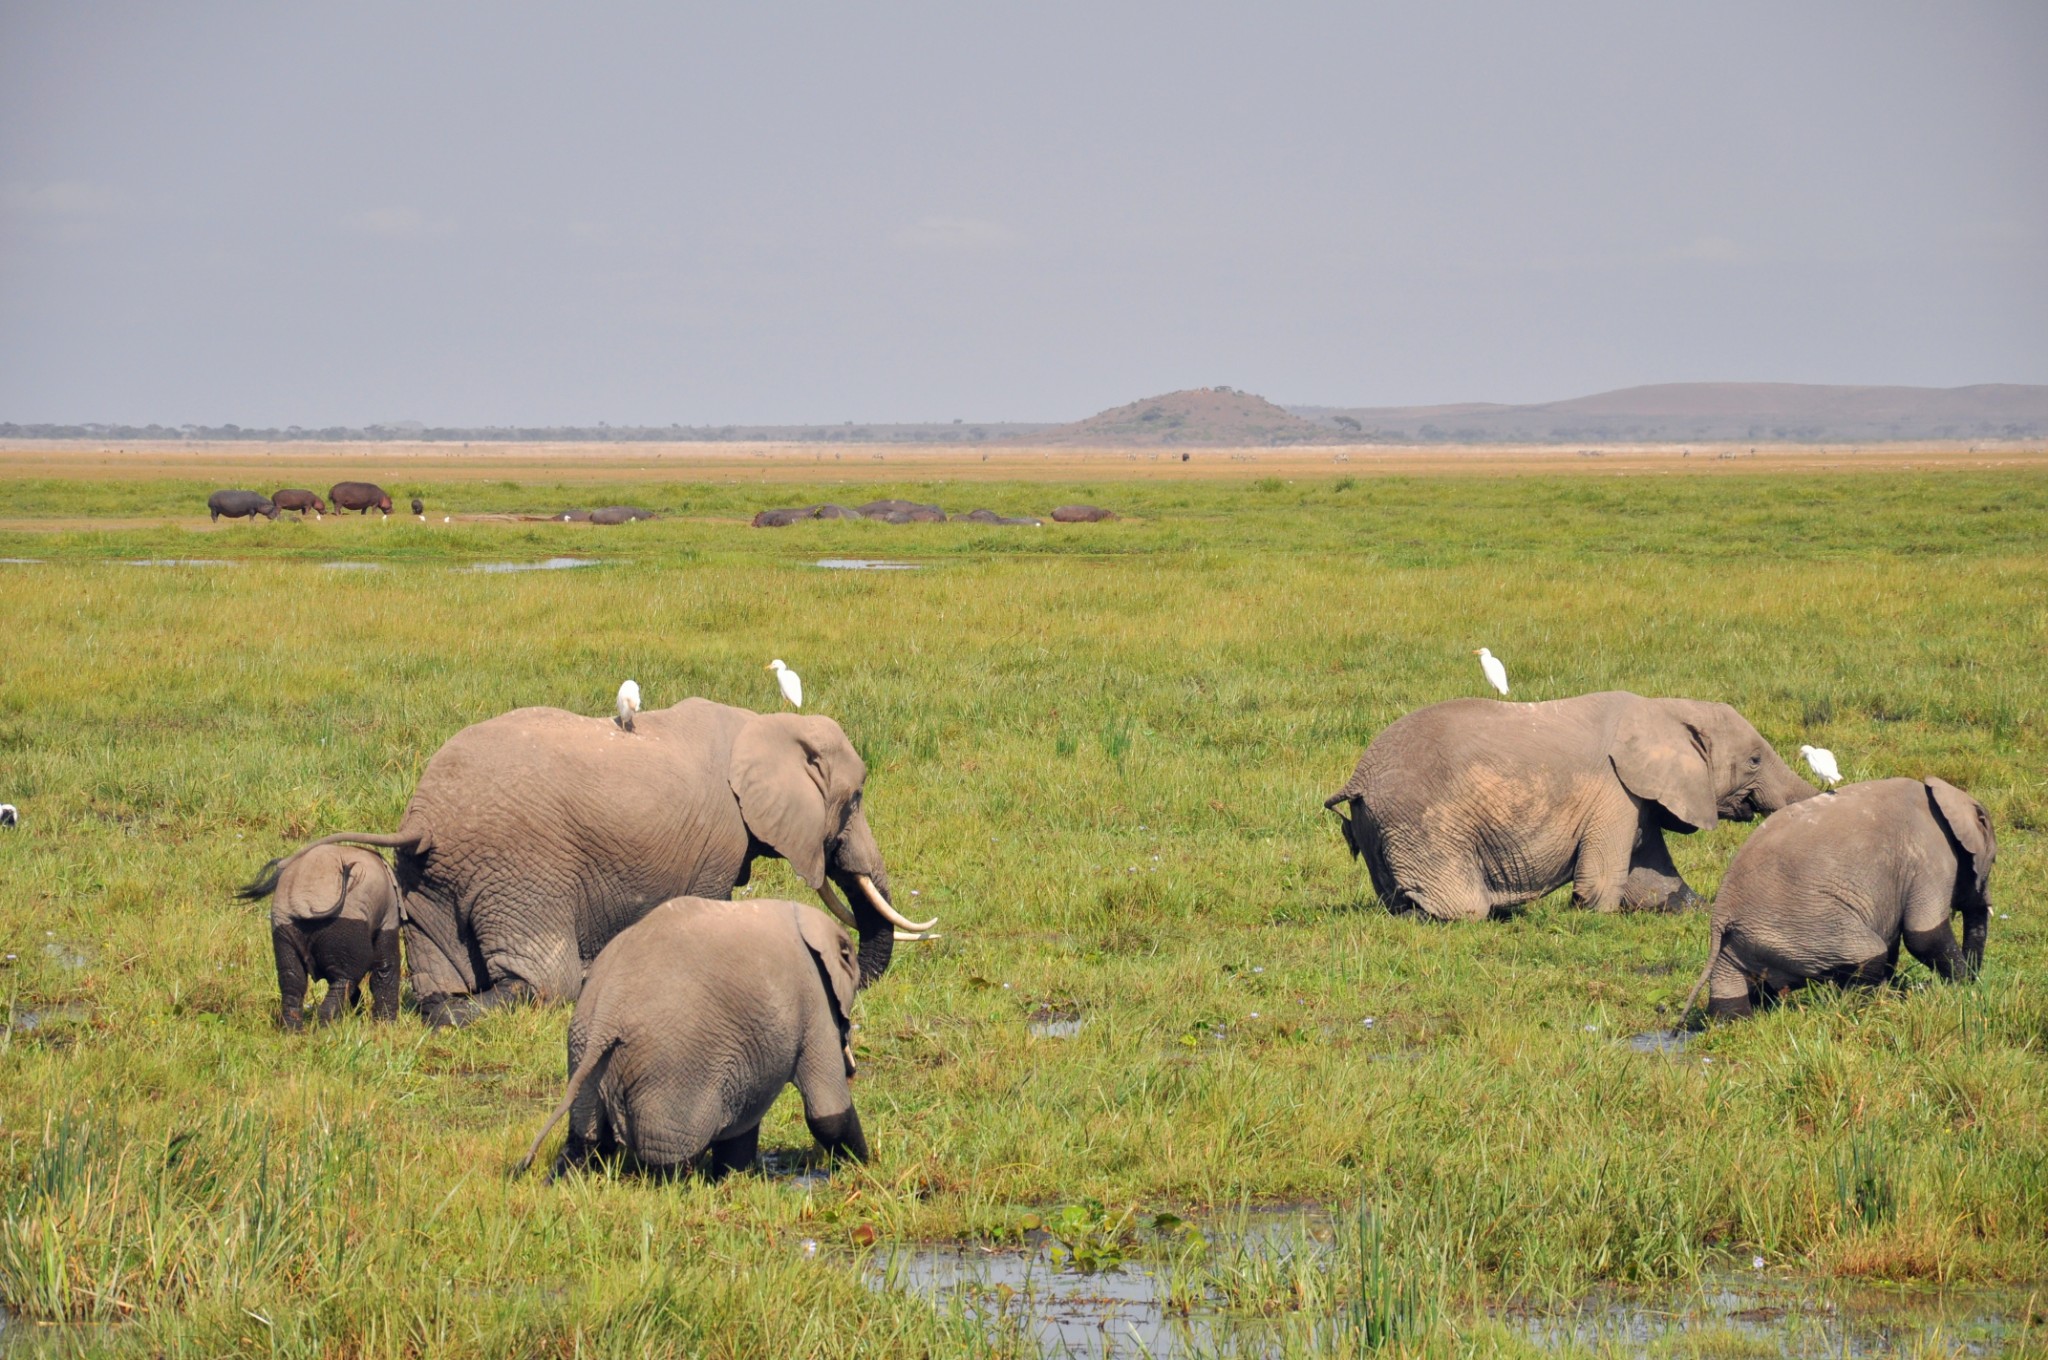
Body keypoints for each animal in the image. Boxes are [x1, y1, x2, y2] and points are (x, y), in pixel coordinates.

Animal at [238, 843, 399, 1024]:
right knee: (345, 979)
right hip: (342, 926)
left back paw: (293, 1028)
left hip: (285, 928)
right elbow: (384, 968)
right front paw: (384, 1024)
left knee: (292, 981)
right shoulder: (388, 914)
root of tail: (303, 903)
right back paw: (327, 1026)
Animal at [520, 897, 864, 1171]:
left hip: (582, 1051)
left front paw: (733, 1176)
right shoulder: (814, 1000)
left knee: (587, 1144)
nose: (852, 1070)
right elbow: (827, 1112)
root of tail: (606, 1014)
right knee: (669, 1160)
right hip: (671, 1071)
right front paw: (863, 1166)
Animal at [1695, 774, 1998, 1020]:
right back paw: (1874, 1003)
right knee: (1869, 952)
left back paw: (1733, 1022)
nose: (1976, 979)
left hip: (1747, 938)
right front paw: (1963, 987)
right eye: (1994, 861)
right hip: (1807, 926)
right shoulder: (1931, 856)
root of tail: (1721, 913)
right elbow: (1922, 936)